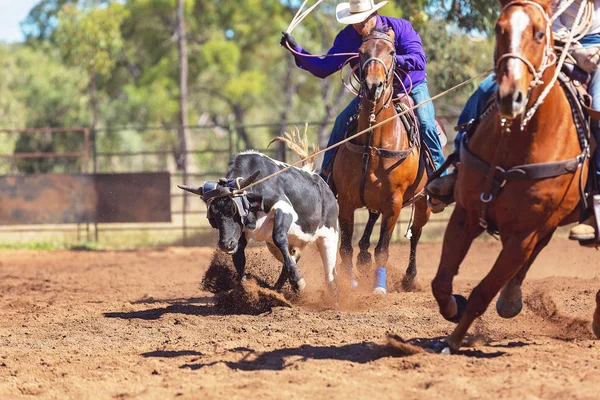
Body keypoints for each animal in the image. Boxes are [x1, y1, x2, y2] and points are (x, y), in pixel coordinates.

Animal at [178, 150, 340, 294]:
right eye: (213, 216)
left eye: (234, 210)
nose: (225, 244)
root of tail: (326, 189)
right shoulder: (240, 234)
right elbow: (239, 256)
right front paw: (242, 286)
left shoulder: (284, 208)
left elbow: (279, 237)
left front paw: (298, 282)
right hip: (280, 246)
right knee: (291, 258)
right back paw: (277, 289)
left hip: (329, 237)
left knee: (330, 275)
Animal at [332, 27, 432, 290]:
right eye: (360, 51)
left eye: (392, 52)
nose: (372, 86)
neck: (373, 143)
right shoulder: (345, 201)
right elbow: (345, 248)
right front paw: (349, 282)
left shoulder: (394, 203)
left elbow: (383, 250)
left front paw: (379, 287)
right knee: (370, 220)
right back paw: (363, 257)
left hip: (423, 203)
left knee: (416, 234)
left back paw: (409, 277)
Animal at [432, 0, 600, 354]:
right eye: (499, 29)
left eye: (538, 33)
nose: (511, 96)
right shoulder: (466, 214)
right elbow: (441, 282)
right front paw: (455, 308)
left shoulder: (524, 234)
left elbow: (483, 291)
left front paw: (453, 341)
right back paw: (510, 299)